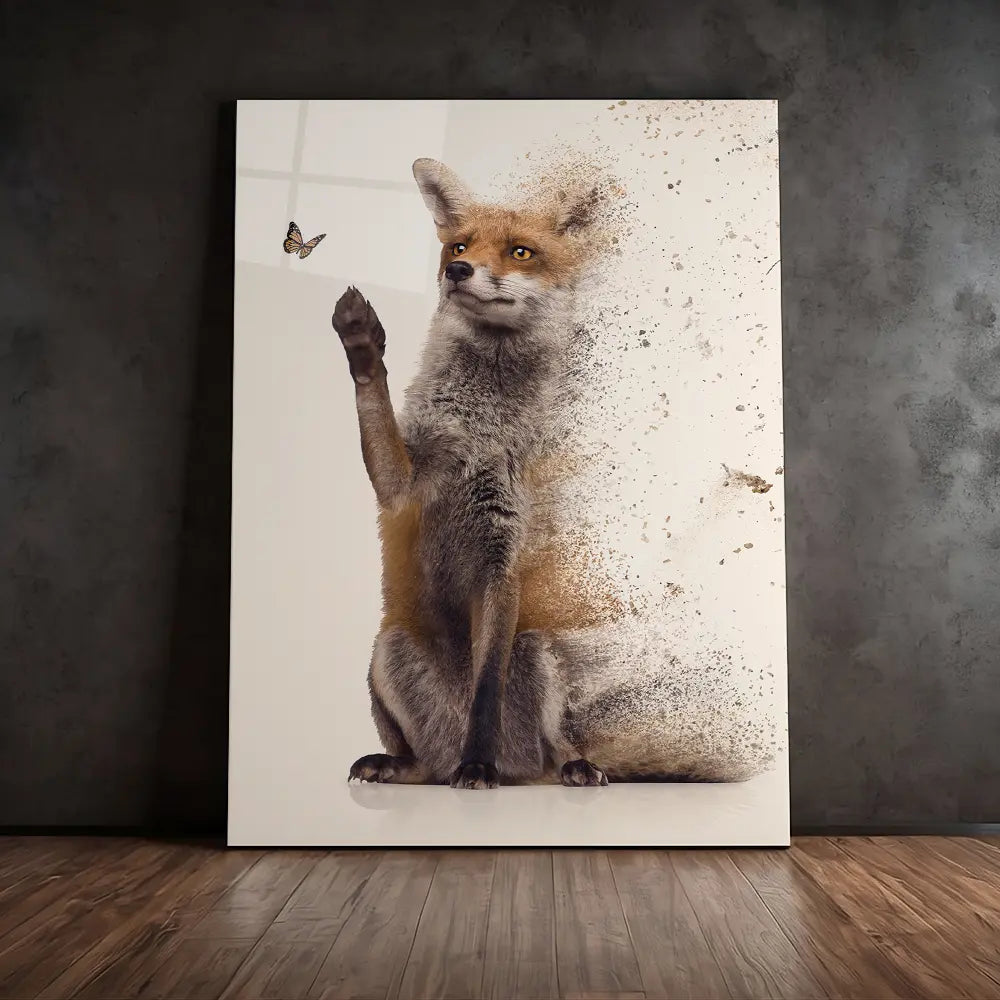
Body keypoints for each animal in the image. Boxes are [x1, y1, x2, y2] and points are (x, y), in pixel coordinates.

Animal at [333, 158, 738, 789]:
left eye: (520, 252)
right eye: (458, 245)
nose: (458, 270)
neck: (482, 431)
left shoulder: (505, 558)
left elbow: (486, 691)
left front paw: (478, 764)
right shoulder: (402, 484)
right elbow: (375, 408)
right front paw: (360, 340)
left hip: (538, 654)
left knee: (554, 747)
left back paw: (561, 767)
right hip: (389, 650)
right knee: (418, 762)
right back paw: (401, 763)